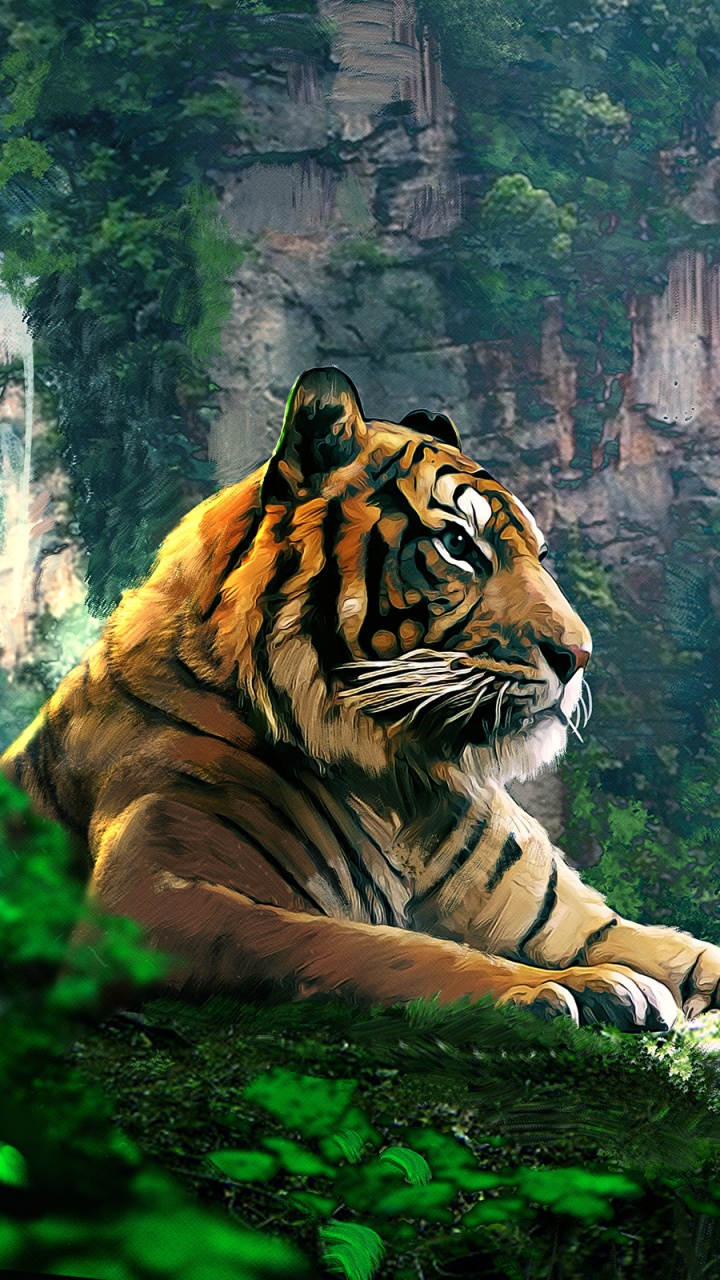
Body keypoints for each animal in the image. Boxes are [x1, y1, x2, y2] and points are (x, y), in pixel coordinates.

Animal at [3, 365, 720, 1032]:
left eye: (540, 555)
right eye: (458, 545)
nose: (580, 655)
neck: (403, 781)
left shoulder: (566, 919)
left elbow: (683, 952)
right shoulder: (153, 898)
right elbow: (373, 946)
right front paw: (563, 987)